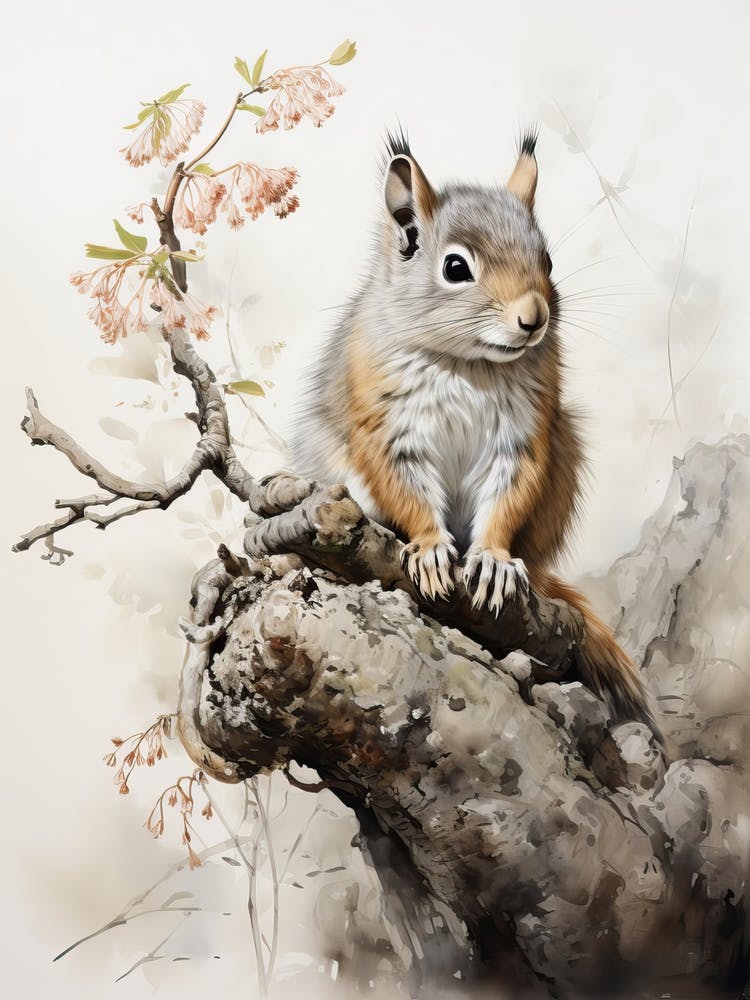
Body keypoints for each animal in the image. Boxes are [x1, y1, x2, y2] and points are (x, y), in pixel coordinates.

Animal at [290, 129, 656, 732]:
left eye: (547, 258)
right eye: (456, 268)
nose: (534, 318)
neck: (469, 363)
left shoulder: (523, 437)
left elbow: (508, 496)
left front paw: (491, 560)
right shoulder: (386, 430)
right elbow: (406, 488)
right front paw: (430, 549)